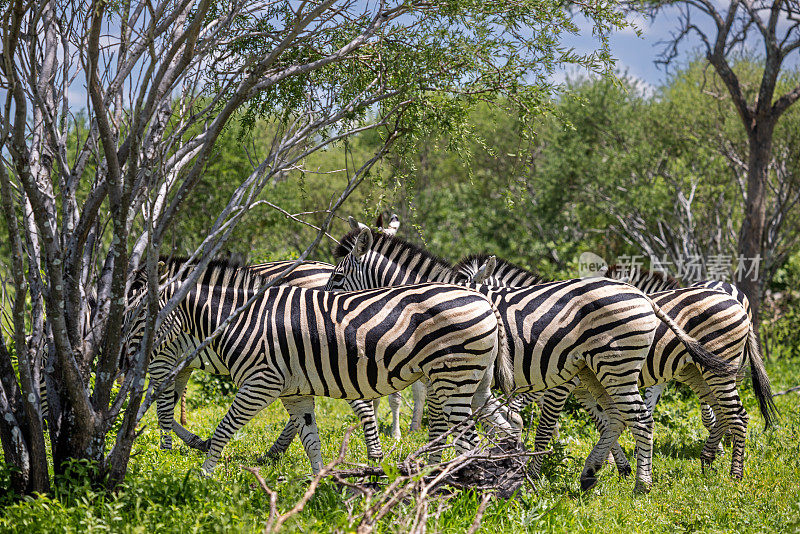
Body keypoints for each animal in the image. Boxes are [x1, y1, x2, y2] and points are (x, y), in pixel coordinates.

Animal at [126, 258, 512, 476]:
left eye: (141, 315)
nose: (128, 363)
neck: (243, 321)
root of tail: (483, 298)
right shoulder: (293, 393)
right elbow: (311, 440)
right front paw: (319, 483)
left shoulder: (260, 384)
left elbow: (223, 429)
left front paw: (204, 476)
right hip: (474, 380)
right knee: (495, 424)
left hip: (453, 377)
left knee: (466, 439)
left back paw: (449, 488)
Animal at [460, 255, 780, 482]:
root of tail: (735, 297)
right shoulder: (582, 385)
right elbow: (606, 421)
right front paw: (618, 466)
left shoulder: (562, 383)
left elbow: (543, 424)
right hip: (701, 370)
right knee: (720, 410)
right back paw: (711, 457)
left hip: (714, 368)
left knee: (730, 413)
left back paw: (733, 473)